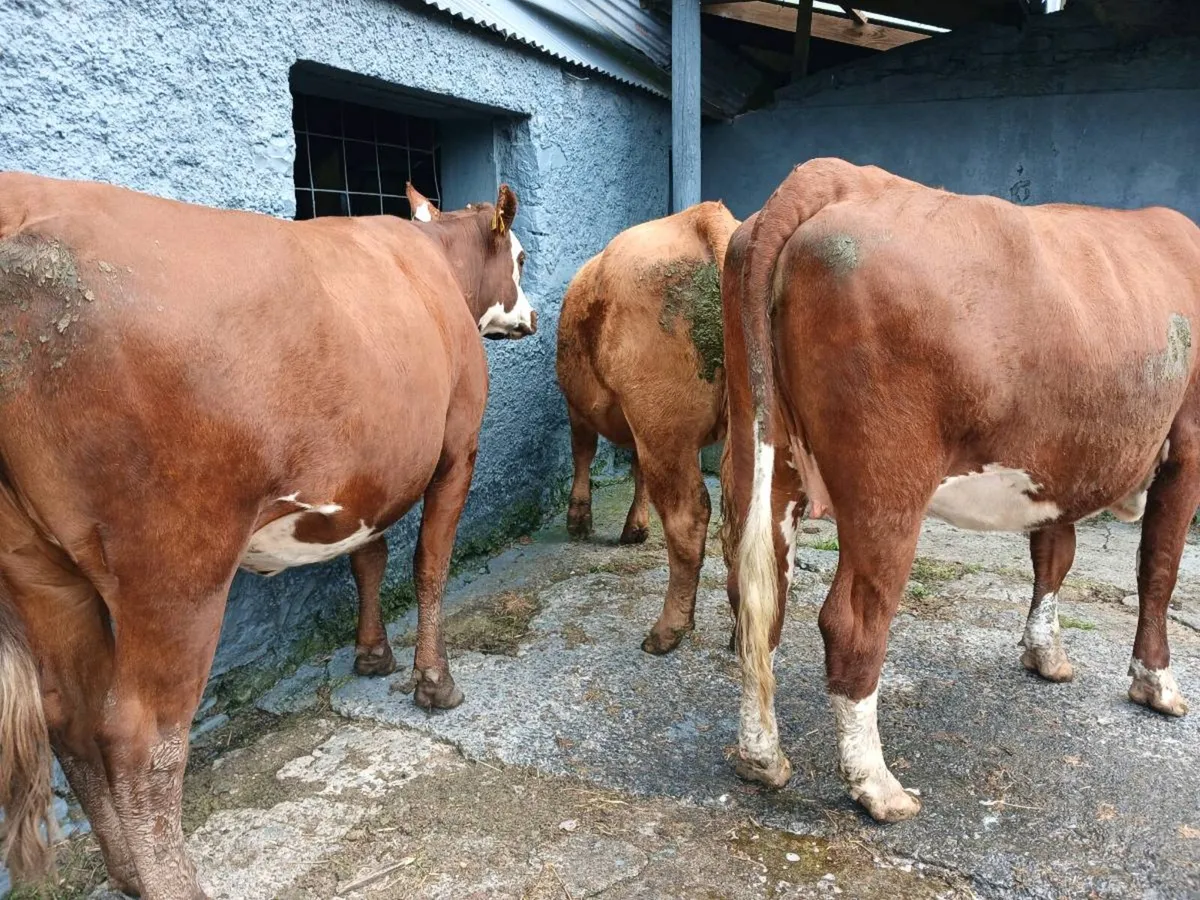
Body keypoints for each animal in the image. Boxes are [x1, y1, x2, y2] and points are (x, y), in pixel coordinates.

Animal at [0, 174, 535, 898]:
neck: (434, 266)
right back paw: (173, 881)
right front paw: (434, 682)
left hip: (37, 568)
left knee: (68, 717)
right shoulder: (457, 448)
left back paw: (130, 873)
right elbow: (428, 564)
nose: (532, 315)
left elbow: (368, 556)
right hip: (177, 568)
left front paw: (372, 655)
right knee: (140, 739)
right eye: (523, 257)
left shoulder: (367, 476)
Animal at [556, 201, 739, 653]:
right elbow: (636, 470)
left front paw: (579, 519)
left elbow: (582, 452)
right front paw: (635, 527)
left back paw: (667, 631)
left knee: (688, 516)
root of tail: (704, 216)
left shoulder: (578, 408)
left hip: (662, 423)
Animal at [721, 157, 1198, 824]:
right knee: (850, 622)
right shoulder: (1189, 441)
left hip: (759, 444)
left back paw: (760, 755)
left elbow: (1054, 553)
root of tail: (834, 176)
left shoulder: (1056, 457)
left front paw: (1044, 653)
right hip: (887, 483)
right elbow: (1159, 569)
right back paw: (876, 785)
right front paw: (1156, 684)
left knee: (754, 597)